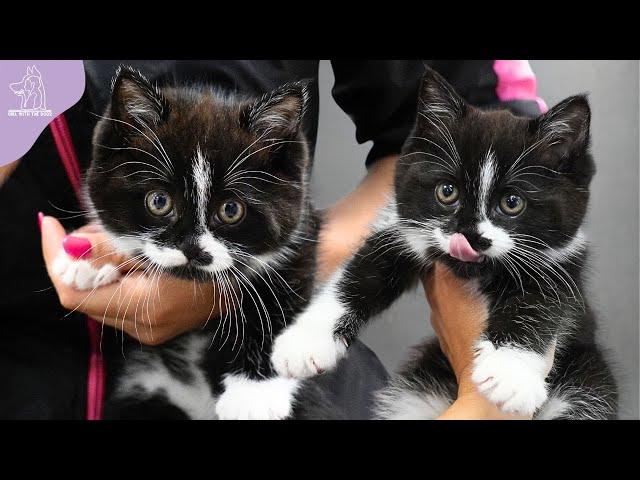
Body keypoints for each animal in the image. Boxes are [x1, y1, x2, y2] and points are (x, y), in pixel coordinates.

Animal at [52, 67, 332, 420]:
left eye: (231, 209)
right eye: (159, 201)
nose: (192, 249)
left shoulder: (302, 231)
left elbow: (283, 297)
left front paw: (253, 394)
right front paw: (92, 257)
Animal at [272, 67, 620, 420]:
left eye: (512, 202)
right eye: (447, 191)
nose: (470, 235)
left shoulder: (560, 265)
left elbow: (539, 304)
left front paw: (510, 373)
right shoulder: (403, 232)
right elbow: (361, 272)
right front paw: (304, 341)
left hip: (586, 381)